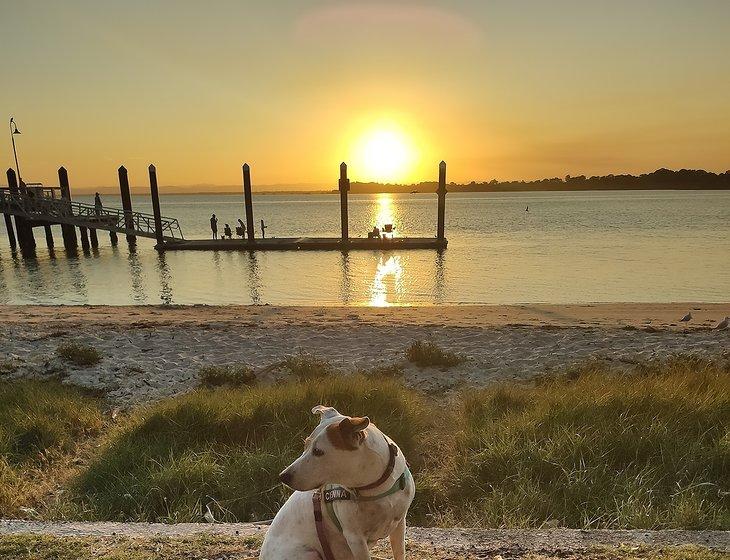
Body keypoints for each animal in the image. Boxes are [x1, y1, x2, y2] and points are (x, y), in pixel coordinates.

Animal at [258, 406, 412, 560]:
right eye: (305, 445)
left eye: (318, 451)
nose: (283, 476)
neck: (377, 487)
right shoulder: (355, 538)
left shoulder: (399, 524)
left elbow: (399, 553)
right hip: (309, 553)